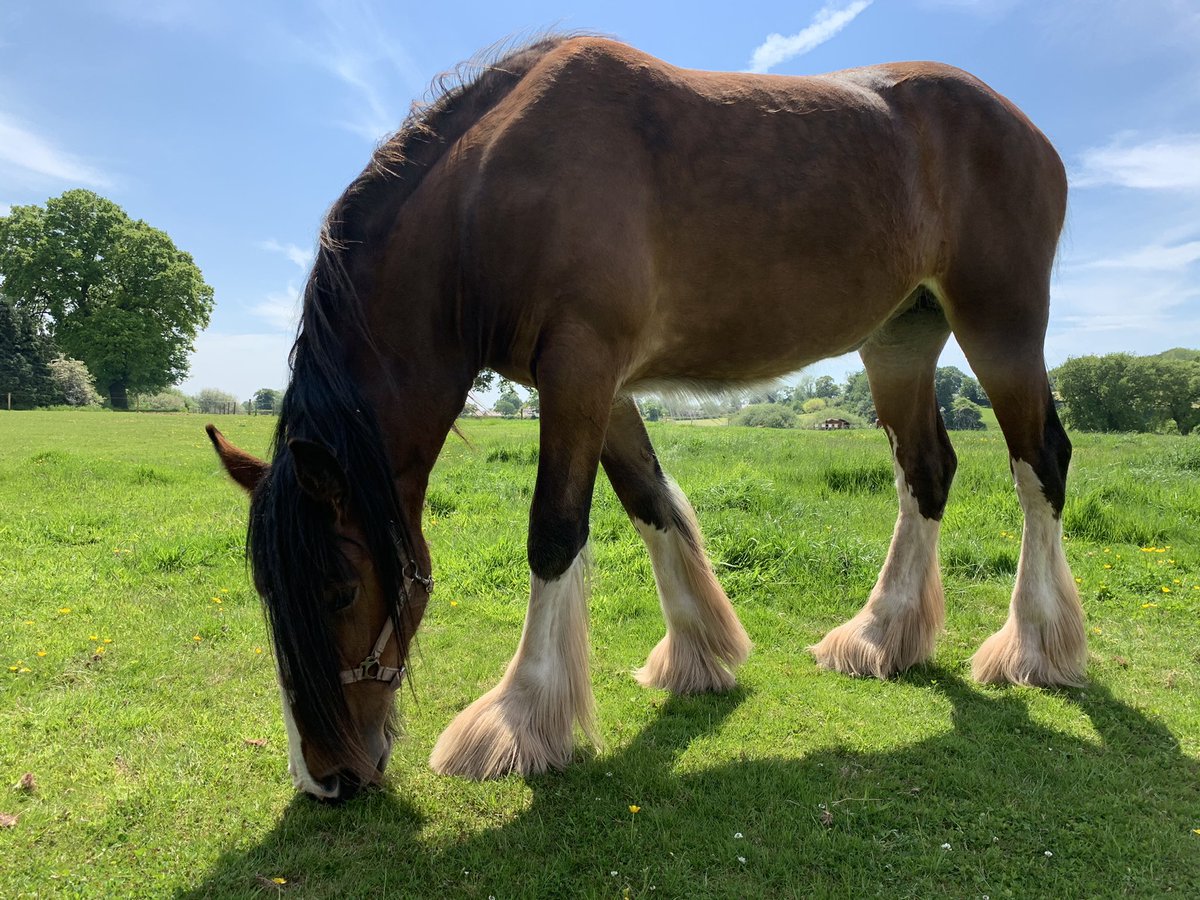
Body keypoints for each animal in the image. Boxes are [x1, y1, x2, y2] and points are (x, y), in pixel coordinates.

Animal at [207, 36, 1083, 802]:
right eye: (266, 590)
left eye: (341, 591)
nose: (326, 779)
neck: (486, 194)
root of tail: (1033, 133)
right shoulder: (605, 384)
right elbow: (648, 502)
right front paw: (699, 653)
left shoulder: (581, 367)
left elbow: (555, 532)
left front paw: (520, 718)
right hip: (900, 337)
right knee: (925, 471)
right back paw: (880, 637)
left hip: (1001, 325)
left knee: (1040, 461)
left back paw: (1036, 647)